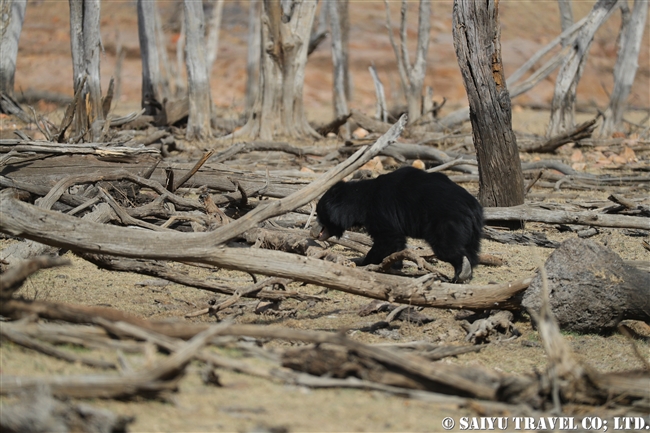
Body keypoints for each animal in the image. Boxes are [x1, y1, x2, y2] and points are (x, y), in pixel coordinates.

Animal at [312, 165, 484, 280]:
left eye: (319, 214)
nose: (313, 231)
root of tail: (473, 206)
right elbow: (397, 243)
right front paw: (394, 265)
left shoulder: (380, 212)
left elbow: (387, 239)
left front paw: (366, 262)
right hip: (472, 230)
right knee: (471, 250)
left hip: (446, 222)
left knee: (447, 248)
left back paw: (461, 271)